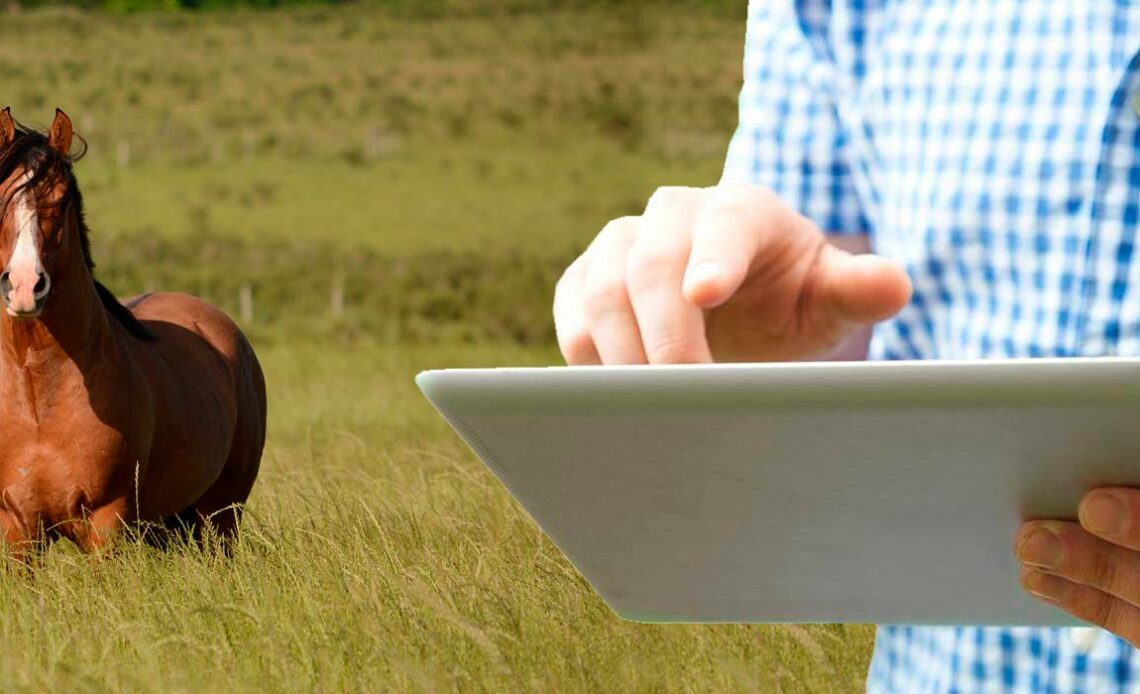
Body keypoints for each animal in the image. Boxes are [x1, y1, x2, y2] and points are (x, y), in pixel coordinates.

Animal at [0, 108, 266, 560]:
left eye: (61, 200)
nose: (23, 286)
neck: (40, 400)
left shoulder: (107, 523)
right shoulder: (16, 529)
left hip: (221, 519)